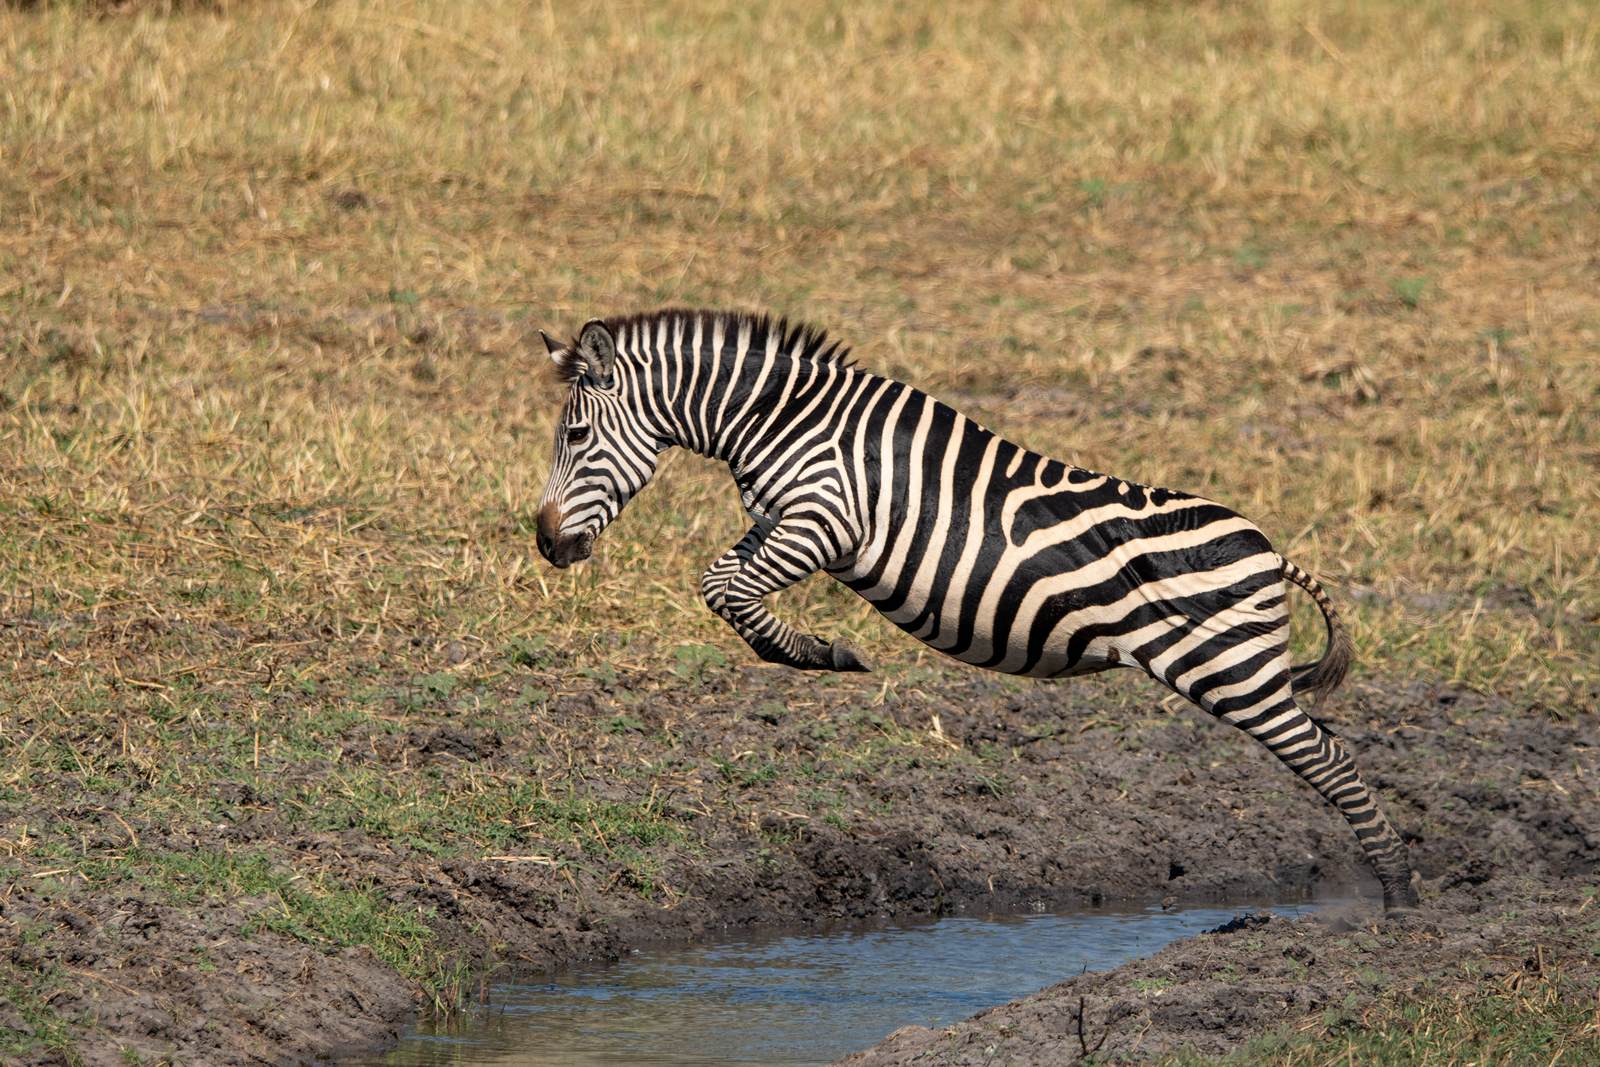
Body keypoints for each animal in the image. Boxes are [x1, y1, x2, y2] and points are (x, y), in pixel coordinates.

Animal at [533, 308, 1419, 914]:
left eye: (574, 436)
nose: (544, 543)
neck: (780, 421)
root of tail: (1271, 549)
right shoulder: (778, 521)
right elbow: (721, 582)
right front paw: (810, 651)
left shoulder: (823, 519)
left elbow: (727, 591)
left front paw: (822, 653)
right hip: (1245, 671)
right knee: (1329, 748)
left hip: (1233, 672)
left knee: (1331, 759)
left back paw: (1401, 897)